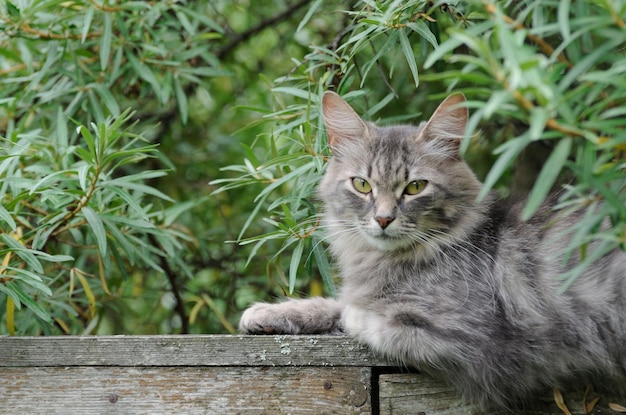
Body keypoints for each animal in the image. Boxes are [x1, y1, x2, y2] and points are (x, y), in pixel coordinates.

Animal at [236, 91, 620, 410]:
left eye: (415, 187)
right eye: (362, 185)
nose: (383, 219)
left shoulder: (467, 342)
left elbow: (361, 317)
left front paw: (348, 316)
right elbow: (329, 304)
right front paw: (265, 314)